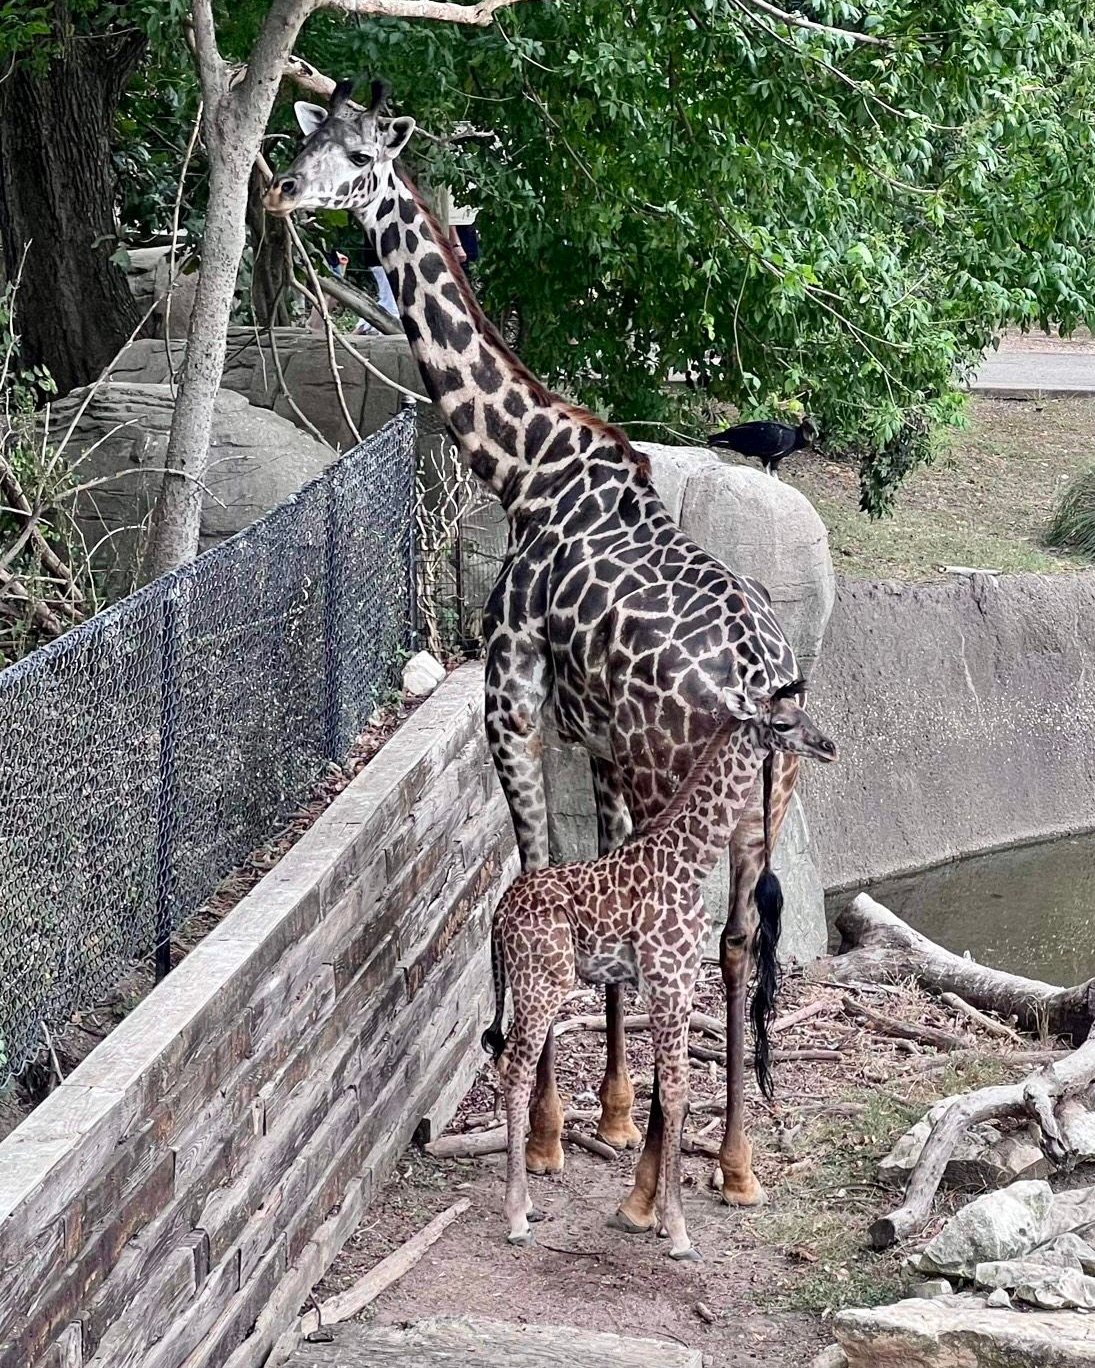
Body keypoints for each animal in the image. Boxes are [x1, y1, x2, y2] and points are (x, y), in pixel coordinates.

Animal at [265, 81, 812, 1207]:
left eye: (356, 157)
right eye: (309, 136)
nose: (281, 191)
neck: (523, 468)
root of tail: (764, 686)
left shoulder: (508, 703)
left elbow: (530, 872)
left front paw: (557, 1129)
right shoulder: (592, 738)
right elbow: (590, 881)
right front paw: (611, 1108)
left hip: (668, 776)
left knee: (693, 941)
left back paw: (654, 1187)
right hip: (752, 812)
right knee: (737, 943)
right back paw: (732, 1165)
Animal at [483, 687, 837, 1257]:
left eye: (806, 712)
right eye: (782, 723)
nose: (828, 746)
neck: (690, 860)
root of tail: (497, 917)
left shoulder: (677, 981)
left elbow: (675, 1092)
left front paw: (665, 1218)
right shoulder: (668, 981)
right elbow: (674, 1093)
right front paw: (677, 1231)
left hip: (526, 981)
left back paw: (529, 1205)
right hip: (544, 981)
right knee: (514, 1067)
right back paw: (517, 1215)